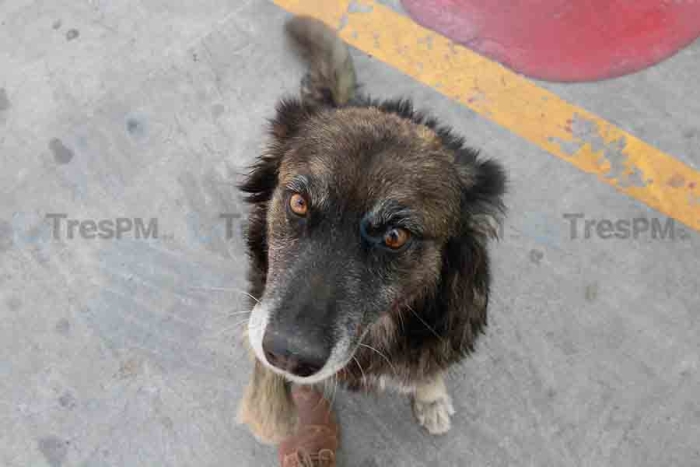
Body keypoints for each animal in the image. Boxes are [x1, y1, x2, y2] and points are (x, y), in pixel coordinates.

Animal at [238, 15, 506, 446]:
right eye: (299, 203)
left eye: (395, 237)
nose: (289, 356)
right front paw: (270, 412)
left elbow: (429, 371)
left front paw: (430, 398)